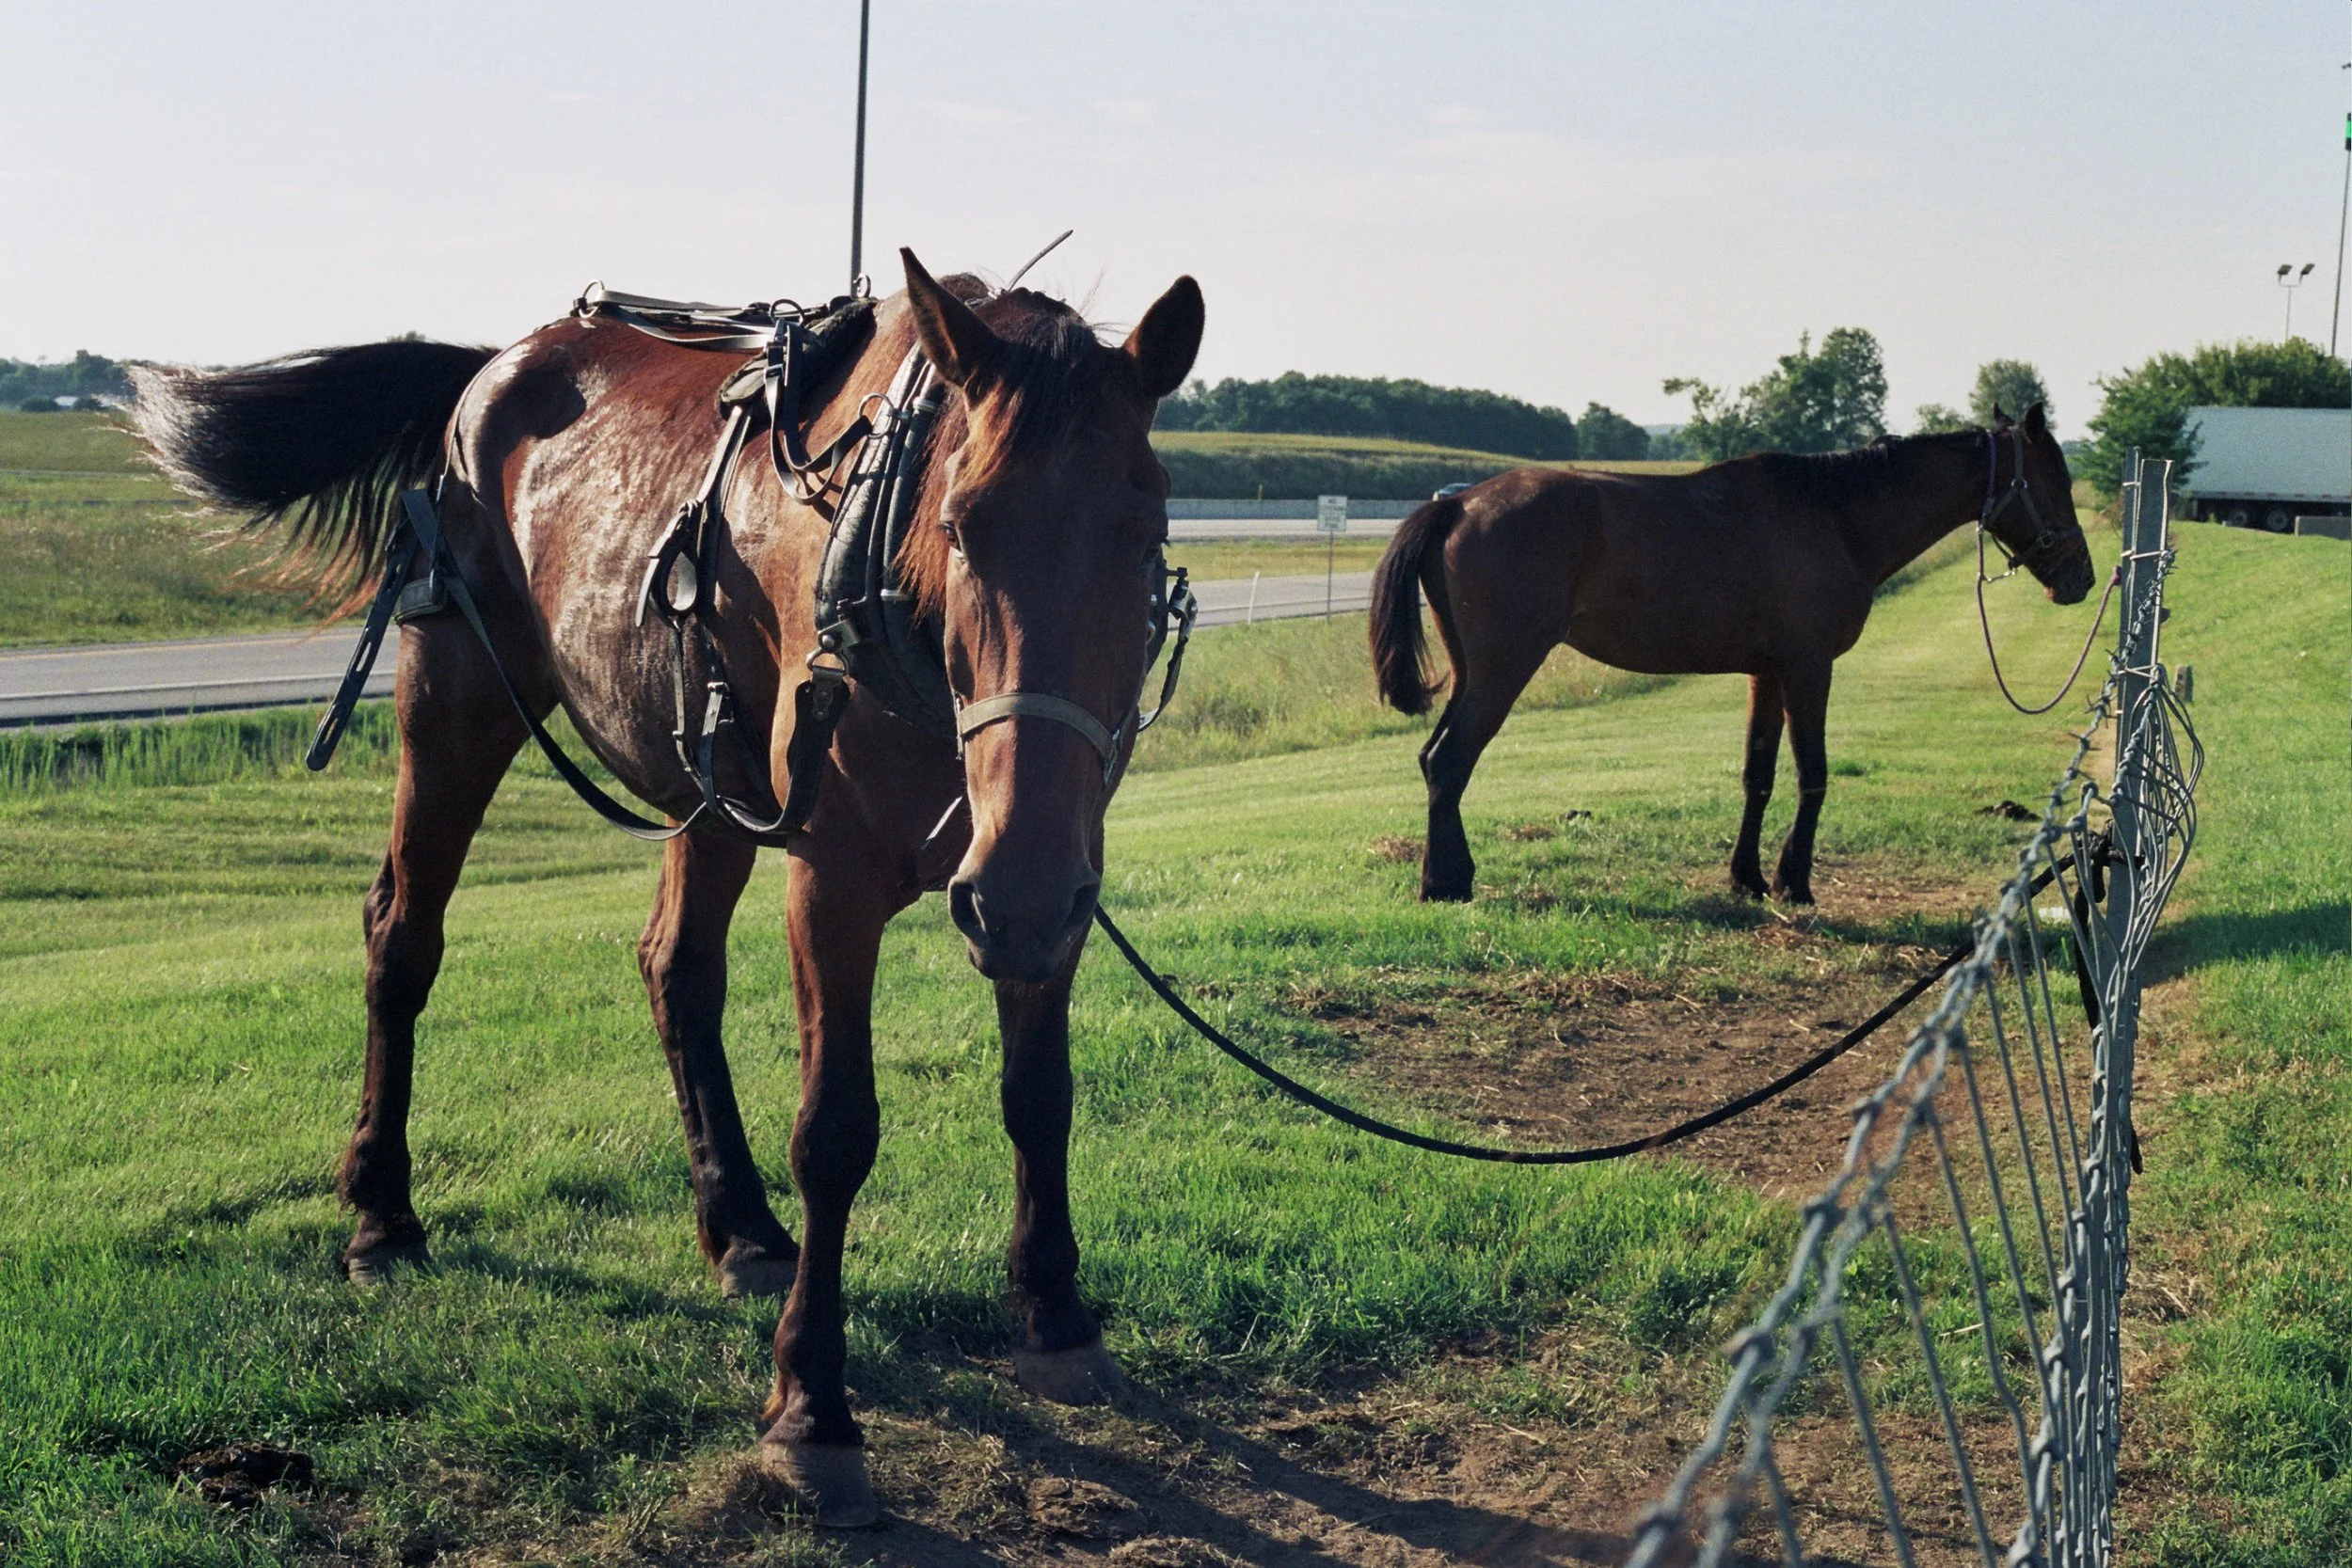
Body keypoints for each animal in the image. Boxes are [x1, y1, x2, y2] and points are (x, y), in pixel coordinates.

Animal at [132, 251, 1205, 1526]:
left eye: (1143, 534)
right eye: (960, 523)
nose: (1019, 890)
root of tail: (492, 365)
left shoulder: (1047, 877)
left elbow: (1039, 1093)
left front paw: (1053, 1315)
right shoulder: (837, 877)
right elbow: (835, 1130)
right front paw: (811, 1406)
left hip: (716, 779)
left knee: (676, 967)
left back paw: (738, 1223)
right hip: (457, 697)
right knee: (404, 932)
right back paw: (382, 1212)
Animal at [1368, 406, 2096, 904]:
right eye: (2055, 481)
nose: (2082, 578)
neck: (1833, 516)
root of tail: (1460, 504)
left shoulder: (1765, 673)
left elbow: (1759, 774)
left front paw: (1746, 876)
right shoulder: (1808, 668)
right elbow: (1812, 772)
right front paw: (1794, 879)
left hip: (1474, 672)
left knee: (1435, 760)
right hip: (1503, 670)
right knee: (1450, 760)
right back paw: (1444, 882)